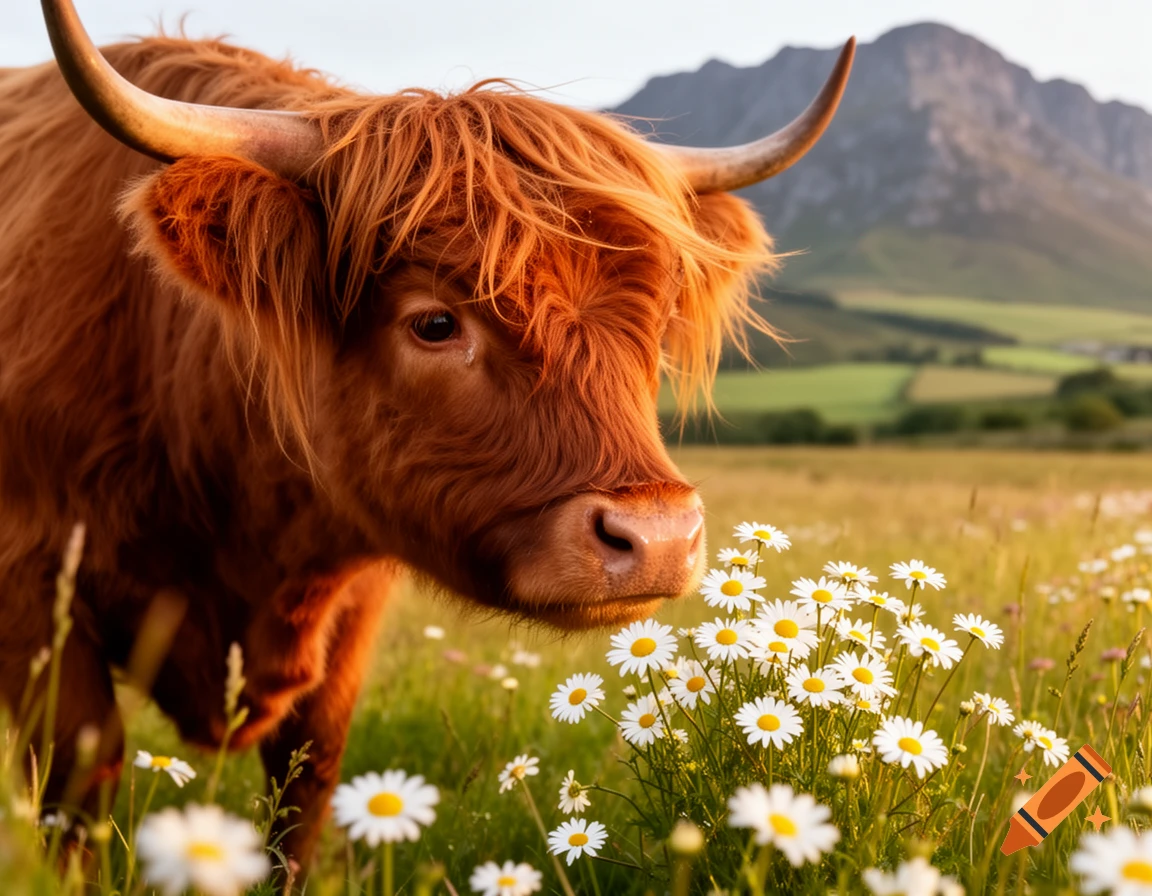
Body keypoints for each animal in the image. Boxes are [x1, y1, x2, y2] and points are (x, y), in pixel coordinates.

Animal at [0, 0, 853, 866]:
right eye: (435, 323)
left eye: (653, 324)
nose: (657, 538)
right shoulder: (33, 584)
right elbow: (80, 773)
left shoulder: (348, 610)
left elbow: (307, 779)